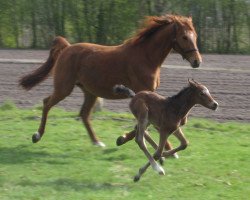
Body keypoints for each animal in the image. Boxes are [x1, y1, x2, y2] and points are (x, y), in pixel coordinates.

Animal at [19, 14, 201, 148]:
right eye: (184, 37)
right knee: (47, 103)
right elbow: (145, 123)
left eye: (195, 36)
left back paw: (97, 142)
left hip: (90, 92)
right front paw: (123, 139)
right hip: (64, 88)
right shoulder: (143, 93)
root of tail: (67, 48)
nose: (197, 61)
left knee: (84, 114)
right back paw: (37, 135)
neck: (146, 57)